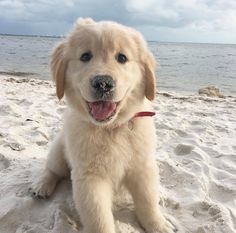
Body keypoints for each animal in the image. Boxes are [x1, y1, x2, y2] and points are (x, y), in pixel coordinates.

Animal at [30, 18, 175, 233]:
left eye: (122, 58)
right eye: (85, 56)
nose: (103, 83)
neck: (111, 129)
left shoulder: (143, 166)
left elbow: (148, 201)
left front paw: (158, 225)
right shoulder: (89, 177)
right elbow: (98, 218)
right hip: (58, 149)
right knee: (52, 170)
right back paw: (41, 186)